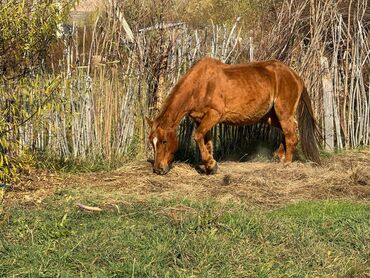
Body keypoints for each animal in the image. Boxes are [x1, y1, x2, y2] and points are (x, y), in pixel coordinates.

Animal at [146, 56, 320, 175]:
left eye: (164, 141)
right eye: (152, 142)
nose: (158, 169)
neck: (200, 84)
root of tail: (295, 76)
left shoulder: (214, 115)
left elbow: (197, 136)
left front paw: (210, 164)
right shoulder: (200, 120)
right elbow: (206, 142)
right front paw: (211, 166)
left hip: (283, 112)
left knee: (291, 135)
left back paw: (286, 164)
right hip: (271, 117)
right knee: (288, 130)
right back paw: (280, 156)